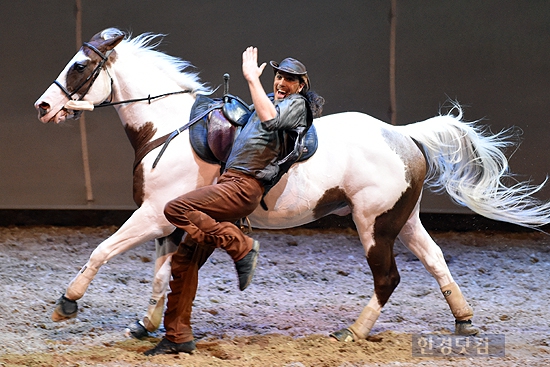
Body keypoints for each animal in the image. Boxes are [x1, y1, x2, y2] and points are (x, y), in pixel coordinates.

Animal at [33, 27, 550, 344]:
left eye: (79, 66)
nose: (43, 107)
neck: (167, 128)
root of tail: (404, 135)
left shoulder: (154, 214)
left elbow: (102, 251)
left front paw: (67, 303)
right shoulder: (169, 223)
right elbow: (161, 277)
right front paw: (145, 325)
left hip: (373, 223)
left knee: (388, 278)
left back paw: (353, 332)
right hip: (402, 220)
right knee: (437, 260)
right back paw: (463, 320)